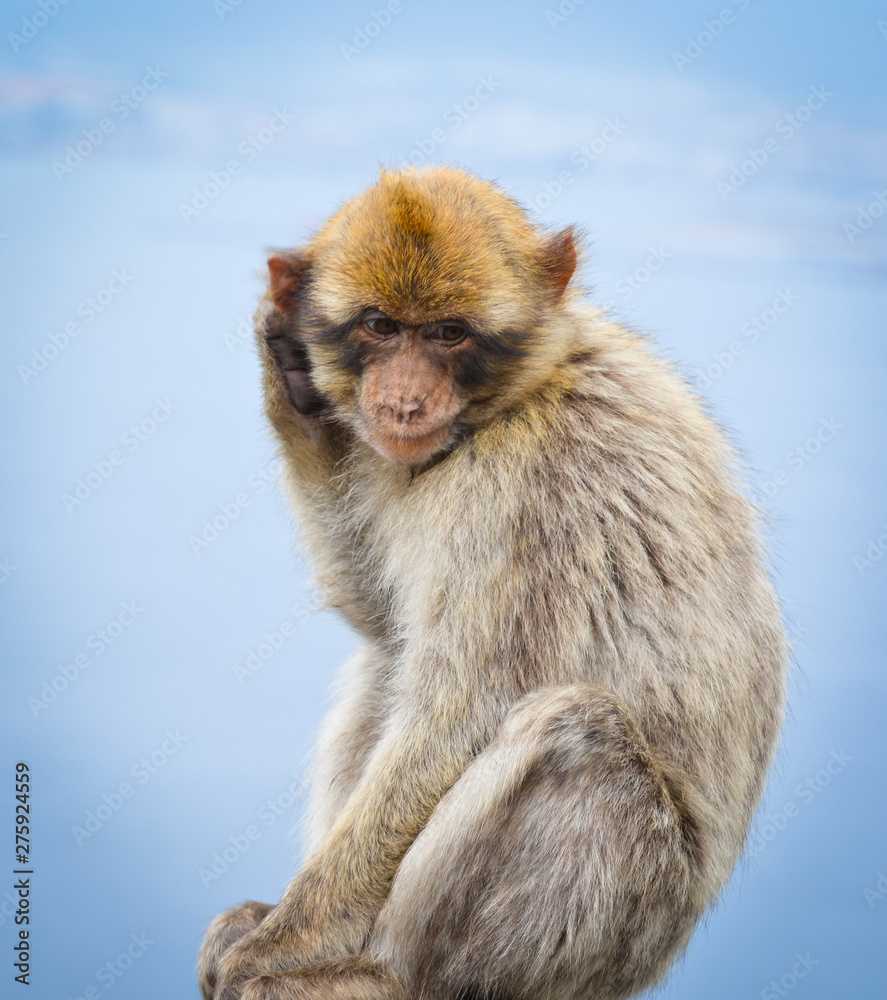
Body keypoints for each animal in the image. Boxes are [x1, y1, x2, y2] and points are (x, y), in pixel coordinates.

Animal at [198, 165, 787, 1000]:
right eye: (380, 326)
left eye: (449, 333)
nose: (404, 399)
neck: (504, 406)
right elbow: (375, 614)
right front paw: (288, 378)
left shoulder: (526, 493)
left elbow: (457, 716)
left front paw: (282, 941)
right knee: (390, 657)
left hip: (615, 925)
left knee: (576, 733)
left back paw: (381, 973)